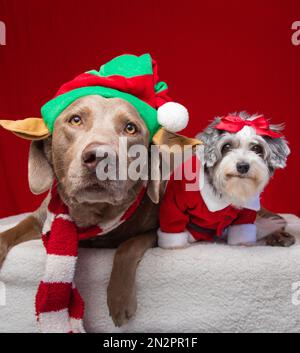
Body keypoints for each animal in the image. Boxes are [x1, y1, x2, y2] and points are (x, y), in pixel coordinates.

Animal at [0, 95, 296, 326]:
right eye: (75, 120)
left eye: (130, 128)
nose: (99, 157)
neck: (95, 214)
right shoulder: (39, 219)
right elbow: (8, 233)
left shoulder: (157, 227)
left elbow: (126, 247)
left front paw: (119, 299)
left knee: (268, 220)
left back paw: (278, 235)